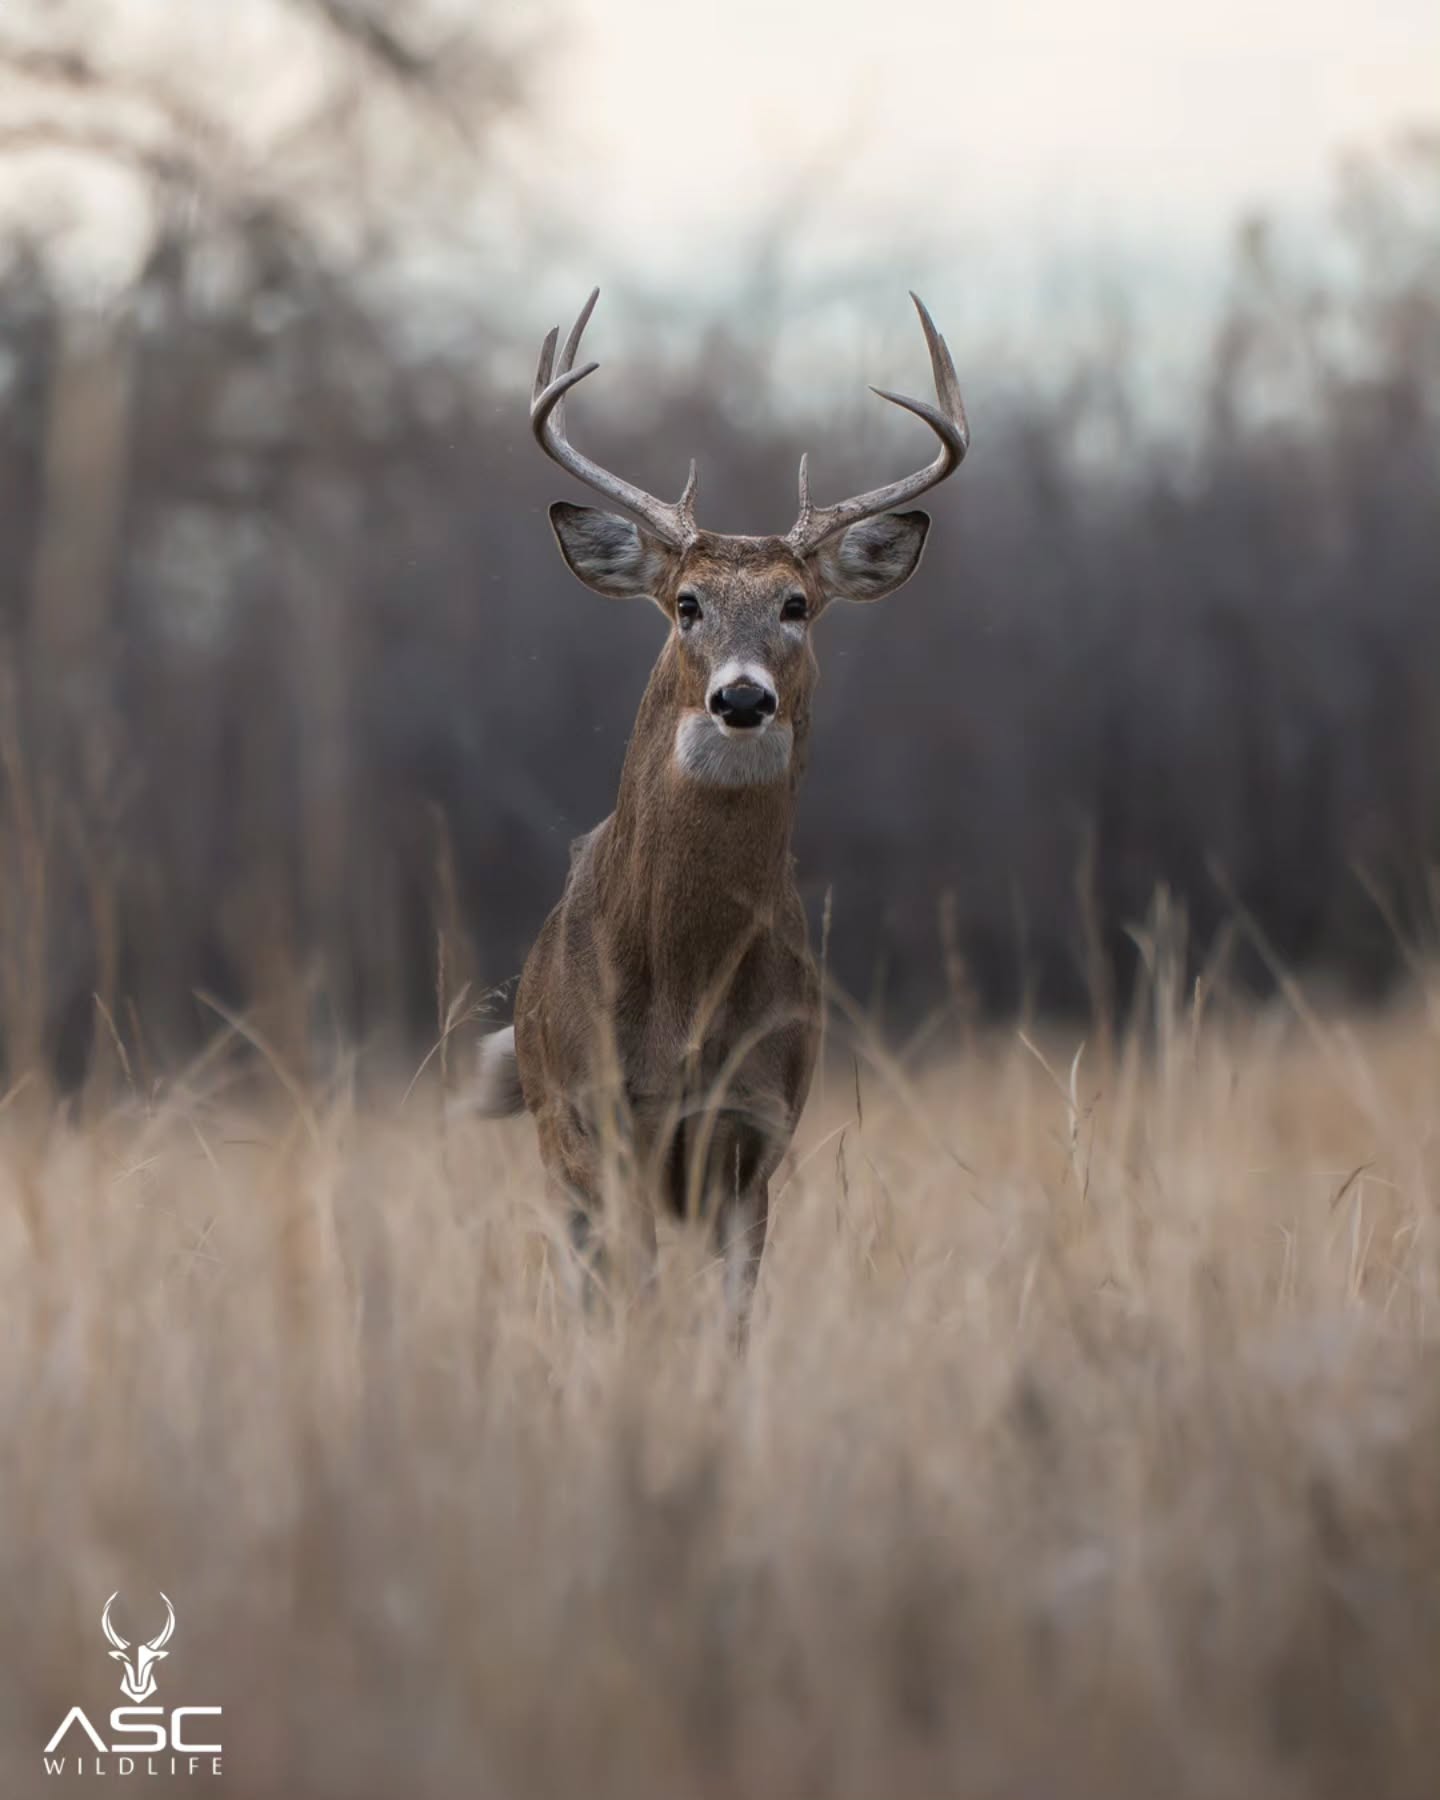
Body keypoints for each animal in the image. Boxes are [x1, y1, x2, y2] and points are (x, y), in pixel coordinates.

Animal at [475, 290, 968, 1321]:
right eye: (687, 603)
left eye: (796, 604)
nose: (742, 698)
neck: (683, 997)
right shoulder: (603, 1121)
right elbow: (632, 1302)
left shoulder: (750, 1132)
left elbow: (730, 1319)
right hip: (553, 1136)